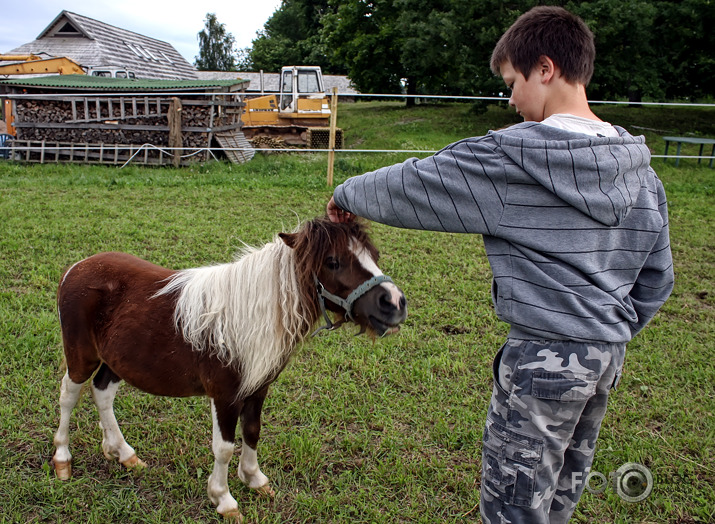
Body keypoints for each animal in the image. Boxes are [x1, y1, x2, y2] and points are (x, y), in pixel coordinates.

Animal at [51, 216, 408, 520]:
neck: (245, 318)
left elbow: (252, 431)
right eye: (333, 261)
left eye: (374, 255)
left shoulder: (258, 388)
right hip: (82, 356)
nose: (394, 303)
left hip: (117, 361)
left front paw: (254, 479)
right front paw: (223, 499)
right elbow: (223, 448)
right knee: (69, 395)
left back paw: (122, 453)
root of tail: (76, 268)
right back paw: (62, 460)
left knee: (102, 393)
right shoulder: (224, 396)